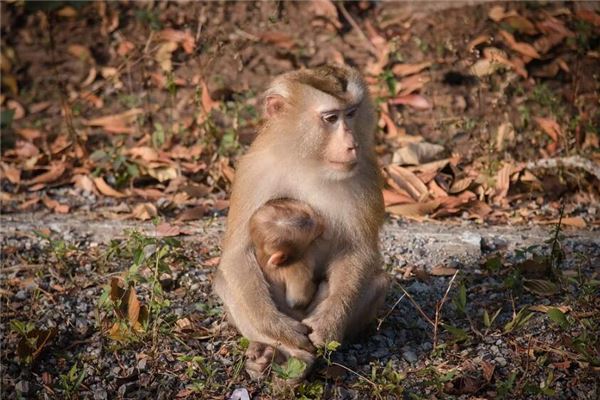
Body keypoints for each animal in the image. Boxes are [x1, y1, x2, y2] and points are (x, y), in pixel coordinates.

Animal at [212, 65, 390, 378]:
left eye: (351, 113)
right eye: (330, 118)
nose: (351, 145)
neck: (309, 162)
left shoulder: (366, 171)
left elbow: (358, 250)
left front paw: (328, 324)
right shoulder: (254, 169)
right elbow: (236, 254)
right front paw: (277, 329)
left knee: (379, 280)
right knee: (226, 281)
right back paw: (274, 355)